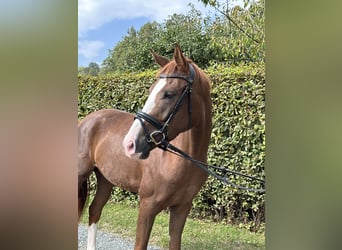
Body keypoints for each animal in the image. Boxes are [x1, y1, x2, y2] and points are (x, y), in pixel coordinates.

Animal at [79, 45, 212, 250]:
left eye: (169, 94)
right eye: (150, 90)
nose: (130, 144)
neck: (180, 160)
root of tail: (86, 120)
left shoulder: (182, 208)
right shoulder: (147, 206)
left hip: (106, 180)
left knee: (94, 210)